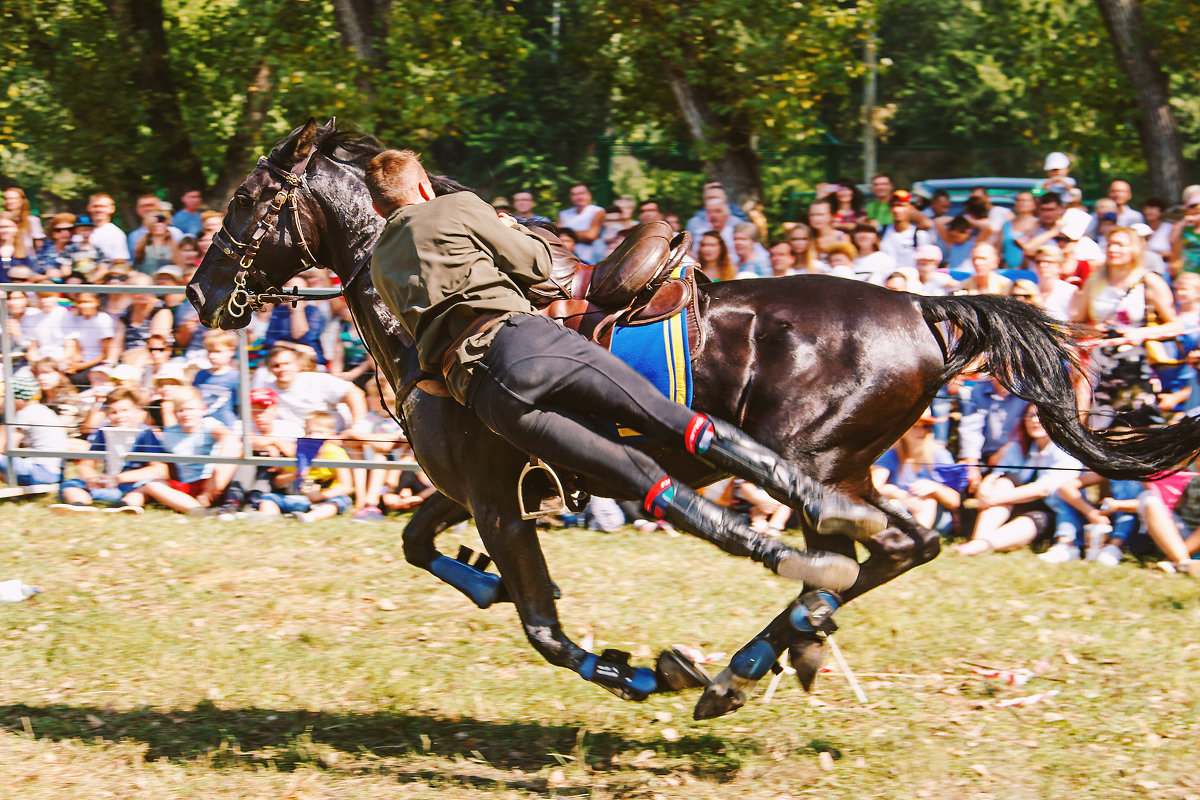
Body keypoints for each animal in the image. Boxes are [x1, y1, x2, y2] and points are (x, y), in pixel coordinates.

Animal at [184, 120, 1200, 719]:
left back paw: (757, 650)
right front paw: (483, 584)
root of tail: (925, 309)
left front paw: (628, 668)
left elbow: (543, 625)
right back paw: (764, 654)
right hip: (849, 463)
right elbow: (422, 546)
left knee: (843, 535)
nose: (198, 293)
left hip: (817, 453)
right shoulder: (483, 487)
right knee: (897, 542)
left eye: (248, 200)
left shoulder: (497, 494)